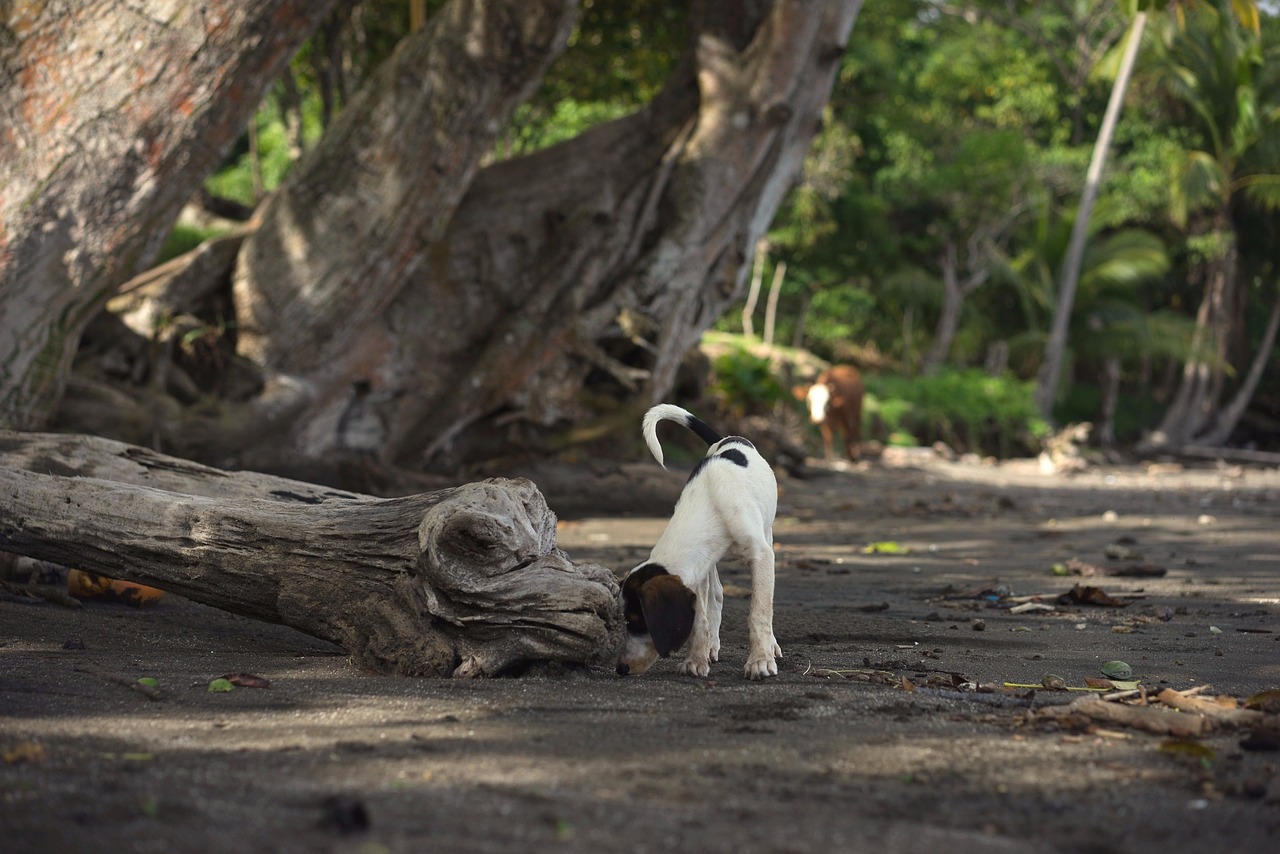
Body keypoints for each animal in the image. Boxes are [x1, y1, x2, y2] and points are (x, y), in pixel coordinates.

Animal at [616, 407, 783, 681]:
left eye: (636, 621)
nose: (621, 668)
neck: (711, 501)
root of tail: (728, 438)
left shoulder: (761, 556)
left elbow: (759, 612)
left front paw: (760, 661)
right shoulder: (699, 570)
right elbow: (700, 621)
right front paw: (695, 659)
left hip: (767, 533)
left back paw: (771, 646)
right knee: (716, 594)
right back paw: (711, 646)